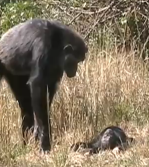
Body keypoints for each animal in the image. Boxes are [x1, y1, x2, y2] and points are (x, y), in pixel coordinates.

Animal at [0, 18, 88, 153]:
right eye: (75, 61)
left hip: (15, 73)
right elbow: (38, 86)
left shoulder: (57, 67)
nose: (75, 70)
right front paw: (45, 141)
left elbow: (48, 91)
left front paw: (39, 133)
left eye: (79, 61)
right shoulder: (42, 46)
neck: (57, 43)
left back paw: (26, 142)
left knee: (25, 104)